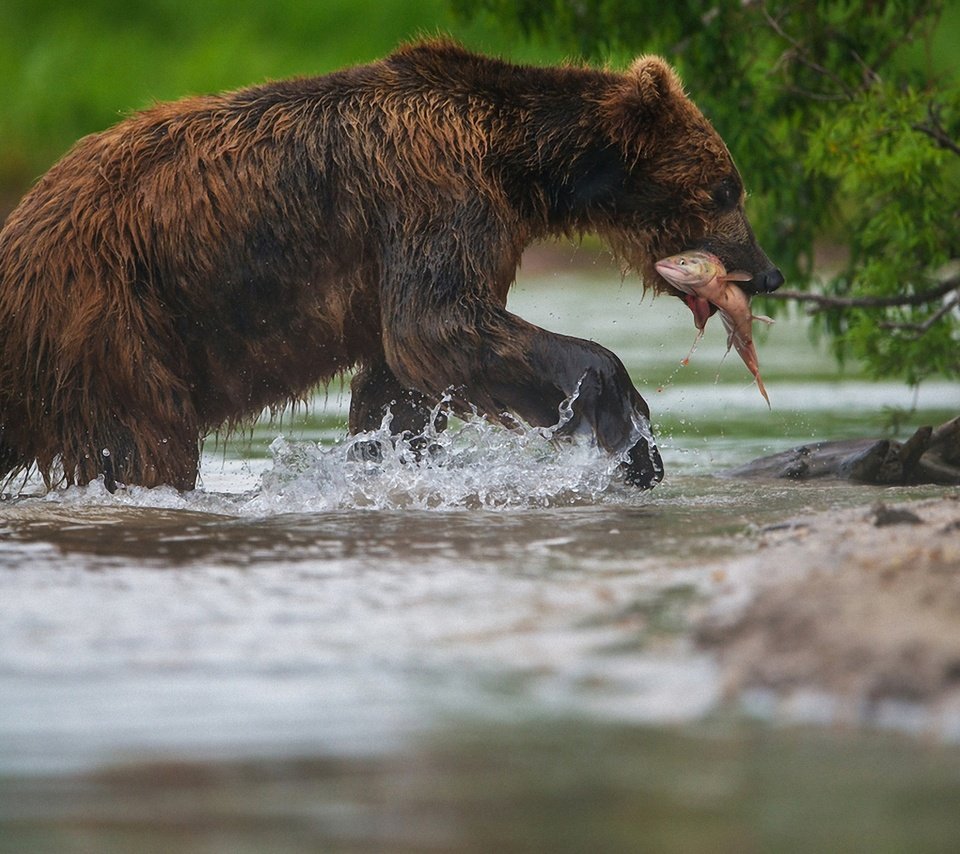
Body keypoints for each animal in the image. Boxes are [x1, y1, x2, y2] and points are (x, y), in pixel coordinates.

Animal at [0, 40, 780, 494]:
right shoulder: (433, 198)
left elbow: (400, 380)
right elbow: (438, 326)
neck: (520, 167)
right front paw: (631, 436)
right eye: (727, 188)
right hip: (113, 317)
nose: (767, 272)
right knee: (146, 439)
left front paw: (388, 463)